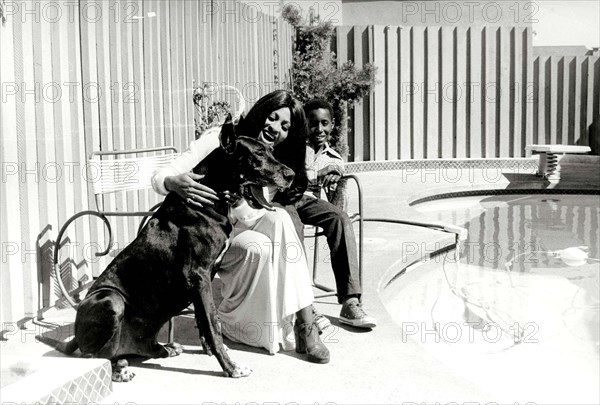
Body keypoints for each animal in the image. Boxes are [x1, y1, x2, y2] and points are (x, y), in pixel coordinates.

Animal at [37, 119, 296, 378]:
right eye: (259, 153)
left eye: (271, 151)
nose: (291, 174)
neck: (212, 191)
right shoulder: (198, 274)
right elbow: (213, 323)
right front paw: (231, 367)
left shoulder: (202, 279)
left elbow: (204, 320)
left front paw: (210, 351)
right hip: (112, 299)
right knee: (92, 357)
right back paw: (117, 371)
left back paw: (160, 350)